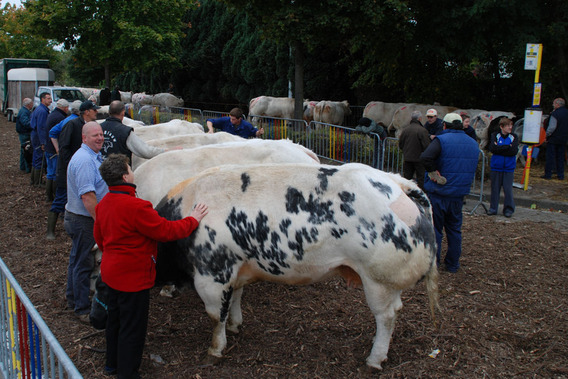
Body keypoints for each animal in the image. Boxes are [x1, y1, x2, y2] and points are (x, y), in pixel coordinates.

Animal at [154, 163, 440, 372]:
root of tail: (399, 183)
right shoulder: (236, 269)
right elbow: (236, 298)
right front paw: (236, 325)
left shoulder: (213, 274)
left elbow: (216, 316)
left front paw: (214, 350)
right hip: (388, 280)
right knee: (396, 309)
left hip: (377, 277)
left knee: (386, 316)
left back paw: (374, 359)